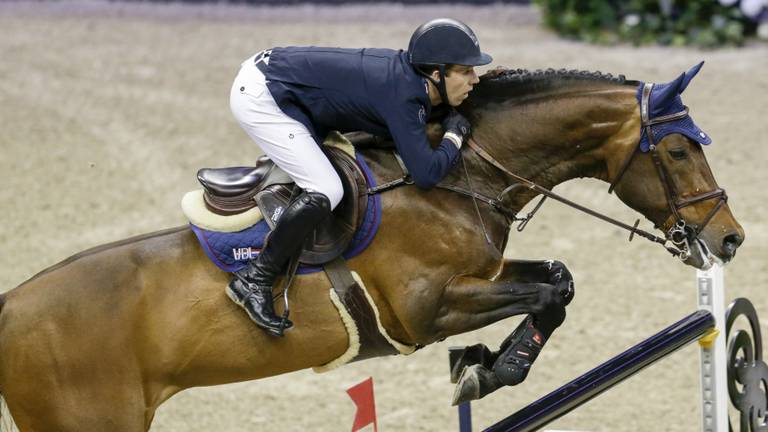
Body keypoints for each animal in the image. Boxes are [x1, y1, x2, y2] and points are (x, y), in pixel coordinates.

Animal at [0, 62, 744, 430]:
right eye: (679, 150)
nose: (730, 237)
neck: (458, 176)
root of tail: (10, 307)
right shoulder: (425, 309)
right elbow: (546, 289)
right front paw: (485, 369)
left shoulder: (483, 276)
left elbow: (556, 281)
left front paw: (481, 365)